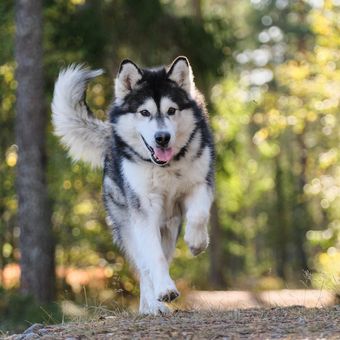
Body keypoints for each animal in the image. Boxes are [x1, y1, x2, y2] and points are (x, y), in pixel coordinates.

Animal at [51, 57, 214, 314]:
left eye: (171, 110)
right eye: (144, 112)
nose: (162, 138)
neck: (165, 167)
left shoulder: (200, 183)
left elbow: (198, 215)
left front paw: (197, 243)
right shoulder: (144, 209)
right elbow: (154, 258)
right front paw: (164, 290)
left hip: (169, 227)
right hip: (130, 225)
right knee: (145, 266)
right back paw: (152, 305)